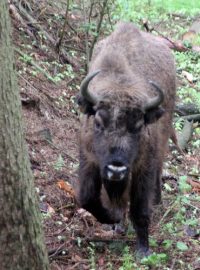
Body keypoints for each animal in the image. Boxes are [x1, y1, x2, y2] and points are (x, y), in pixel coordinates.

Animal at [76, 22, 176, 255]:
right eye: (98, 122)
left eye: (138, 126)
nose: (116, 168)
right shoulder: (90, 161)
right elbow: (87, 199)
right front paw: (114, 219)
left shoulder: (142, 167)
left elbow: (140, 209)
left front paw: (143, 250)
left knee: (159, 169)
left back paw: (156, 200)